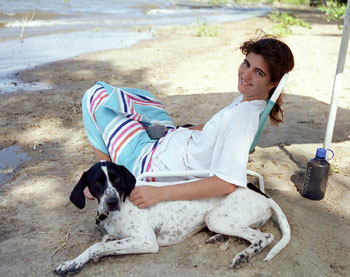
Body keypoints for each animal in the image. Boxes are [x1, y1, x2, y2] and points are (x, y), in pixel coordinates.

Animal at [54, 160, 290, 274]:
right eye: (97, 183)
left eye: (117, 179)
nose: (112, 202)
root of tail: (263, 194)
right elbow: (106, 241)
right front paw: (74, 262)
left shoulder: (146, 241)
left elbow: (97, 246)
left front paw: (72, 264)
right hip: (225, 220)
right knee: (260, 233)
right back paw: (219, 238)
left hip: (216, 217)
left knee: (263, 237)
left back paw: (243, 255)